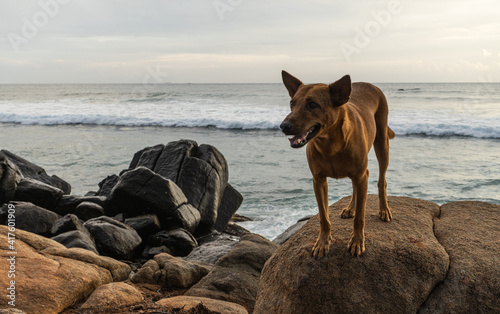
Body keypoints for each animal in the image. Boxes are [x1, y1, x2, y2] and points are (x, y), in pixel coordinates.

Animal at [282, 70, 394, 258]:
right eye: (292, 103)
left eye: (312, 104)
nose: (283, 126)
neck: (329, 143)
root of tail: (369, 84)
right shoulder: (318, 180)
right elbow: (323, 217)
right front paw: (323, 243)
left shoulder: (359, 175)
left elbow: (360, 218)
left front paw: (357, 241)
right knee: (359, 183)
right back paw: (350, 208)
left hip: (382, 143)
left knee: (381, 181)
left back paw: (384, 210)